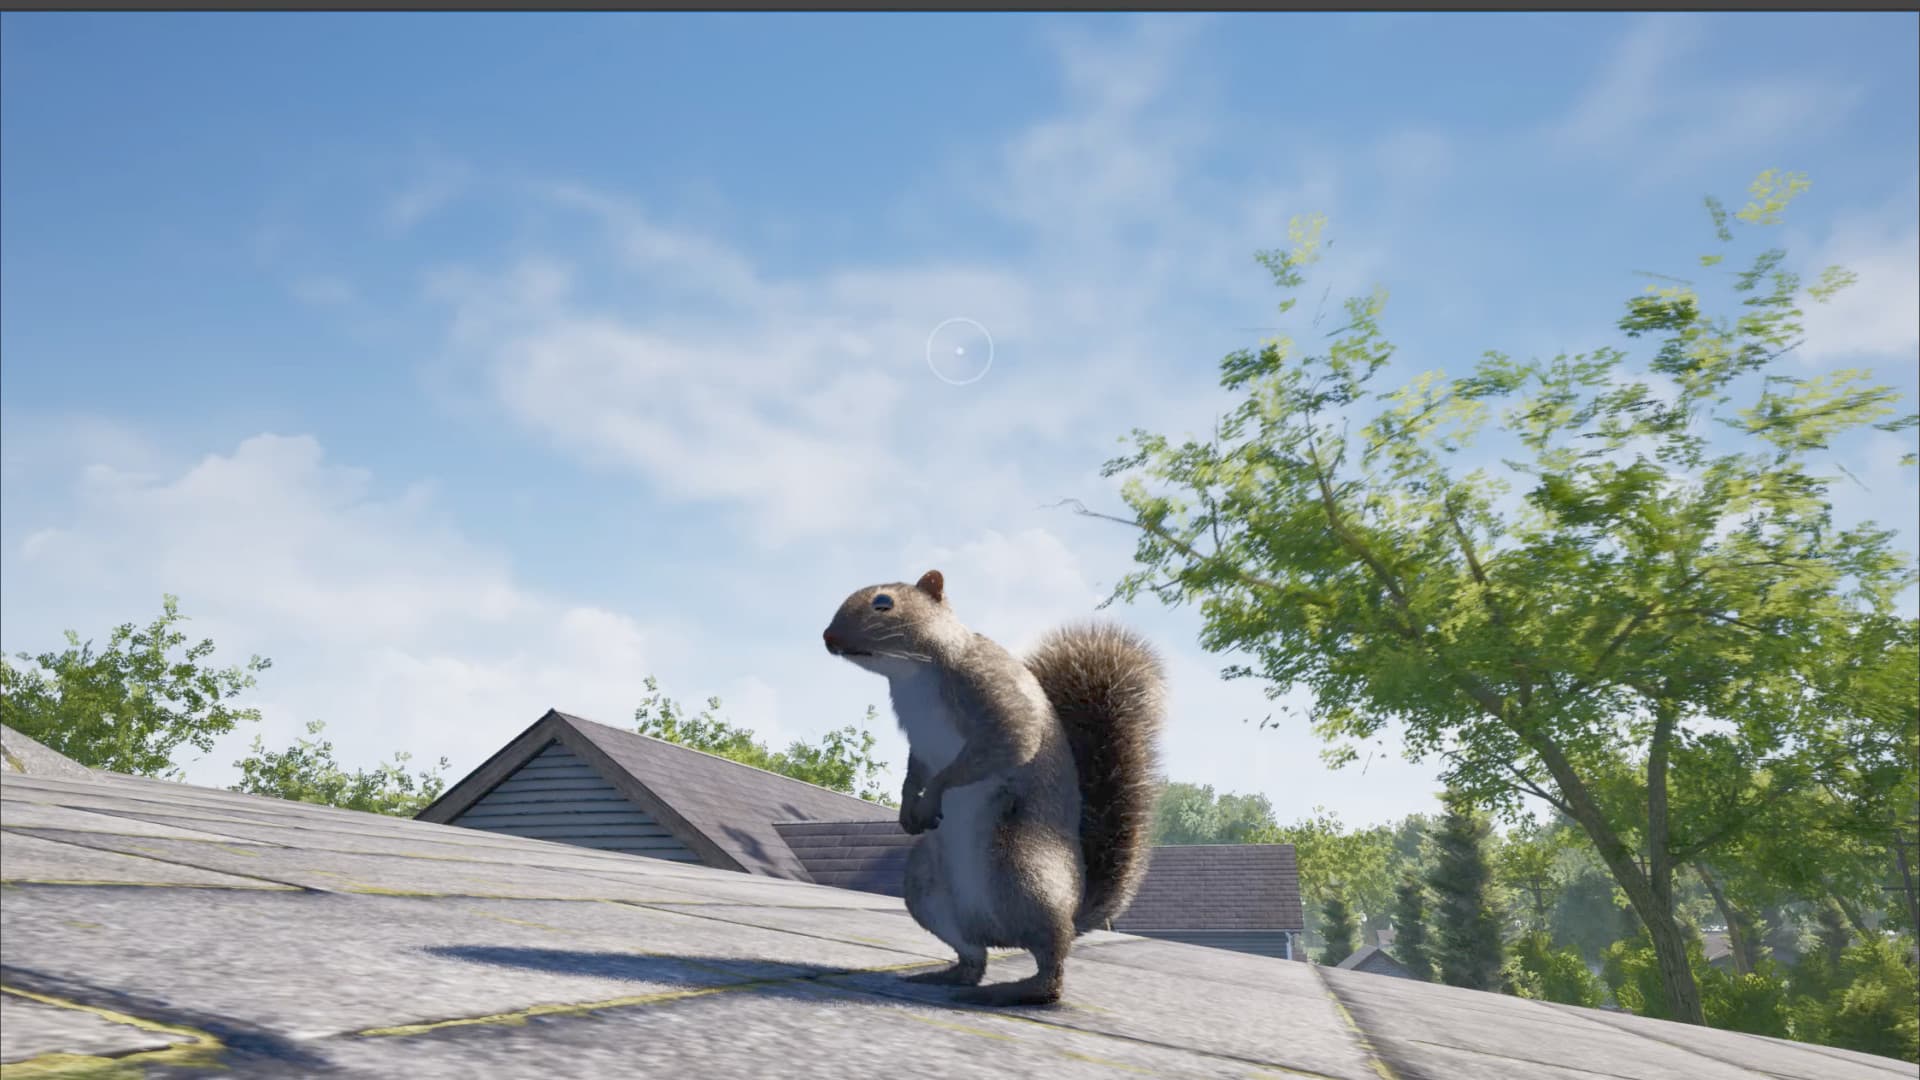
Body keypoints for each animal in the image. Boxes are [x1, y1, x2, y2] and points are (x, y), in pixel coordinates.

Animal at [823, 569, 1165, 1006]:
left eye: (883, 603)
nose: (829, 637)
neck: (913, 674)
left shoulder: (992, 694)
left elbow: (1006, 742)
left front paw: (931, 798)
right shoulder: (919, 741)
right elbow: (915, 770)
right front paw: (907, 808)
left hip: (1023, 871)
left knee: (1051, 965)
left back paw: (1016, 989)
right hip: (925, 889)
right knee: (974, 958)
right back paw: (947, 977)